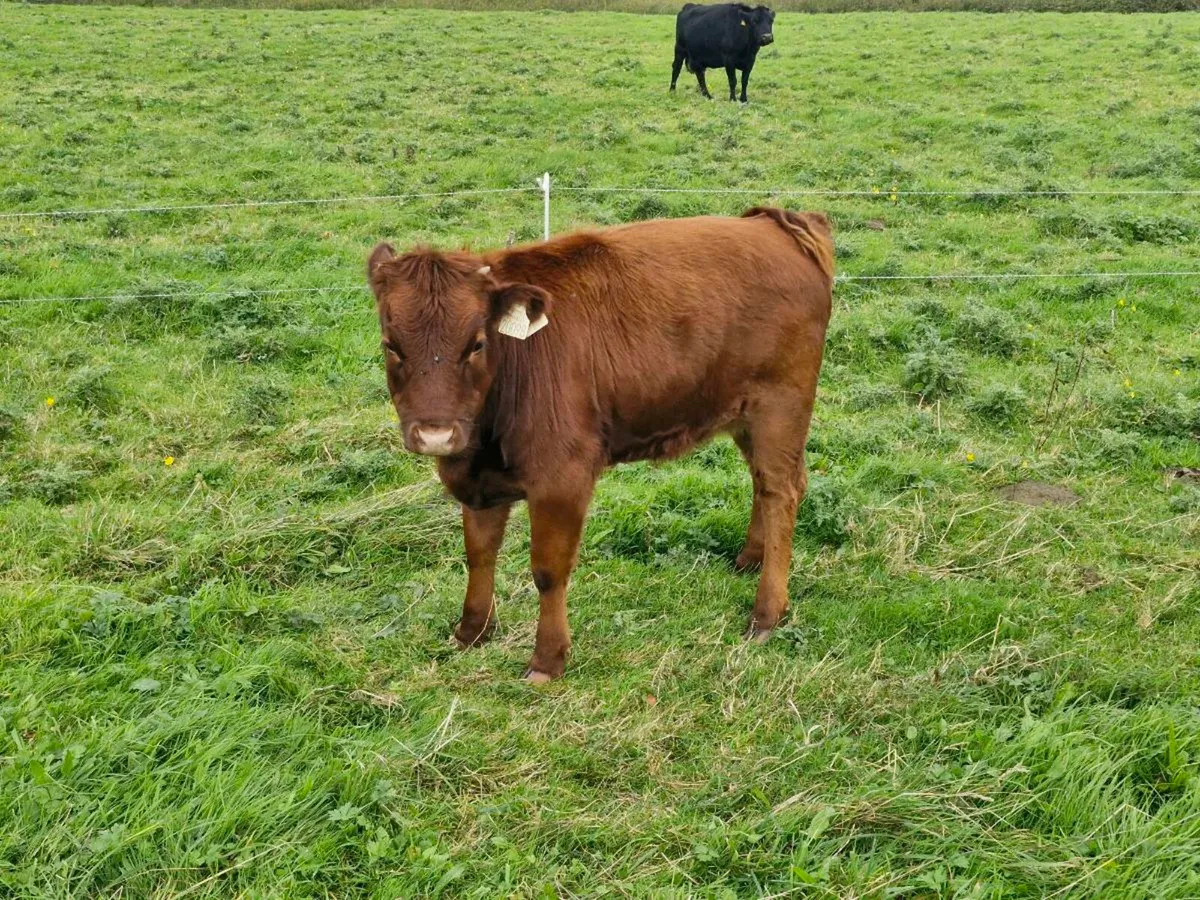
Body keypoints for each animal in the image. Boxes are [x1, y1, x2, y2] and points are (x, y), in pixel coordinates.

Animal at [368, 207, 833, 682]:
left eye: (477, 344)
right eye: (391, 345)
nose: (436, 434)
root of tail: (772, 221)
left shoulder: (563, 478)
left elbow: (548, 569)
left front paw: (547, 659)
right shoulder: (479, 481)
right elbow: (479, 554)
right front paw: (472, 632)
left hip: (780, 404)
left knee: (781, 491)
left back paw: (767, 613)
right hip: (743, 415)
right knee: (767, 482)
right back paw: (750, 559)